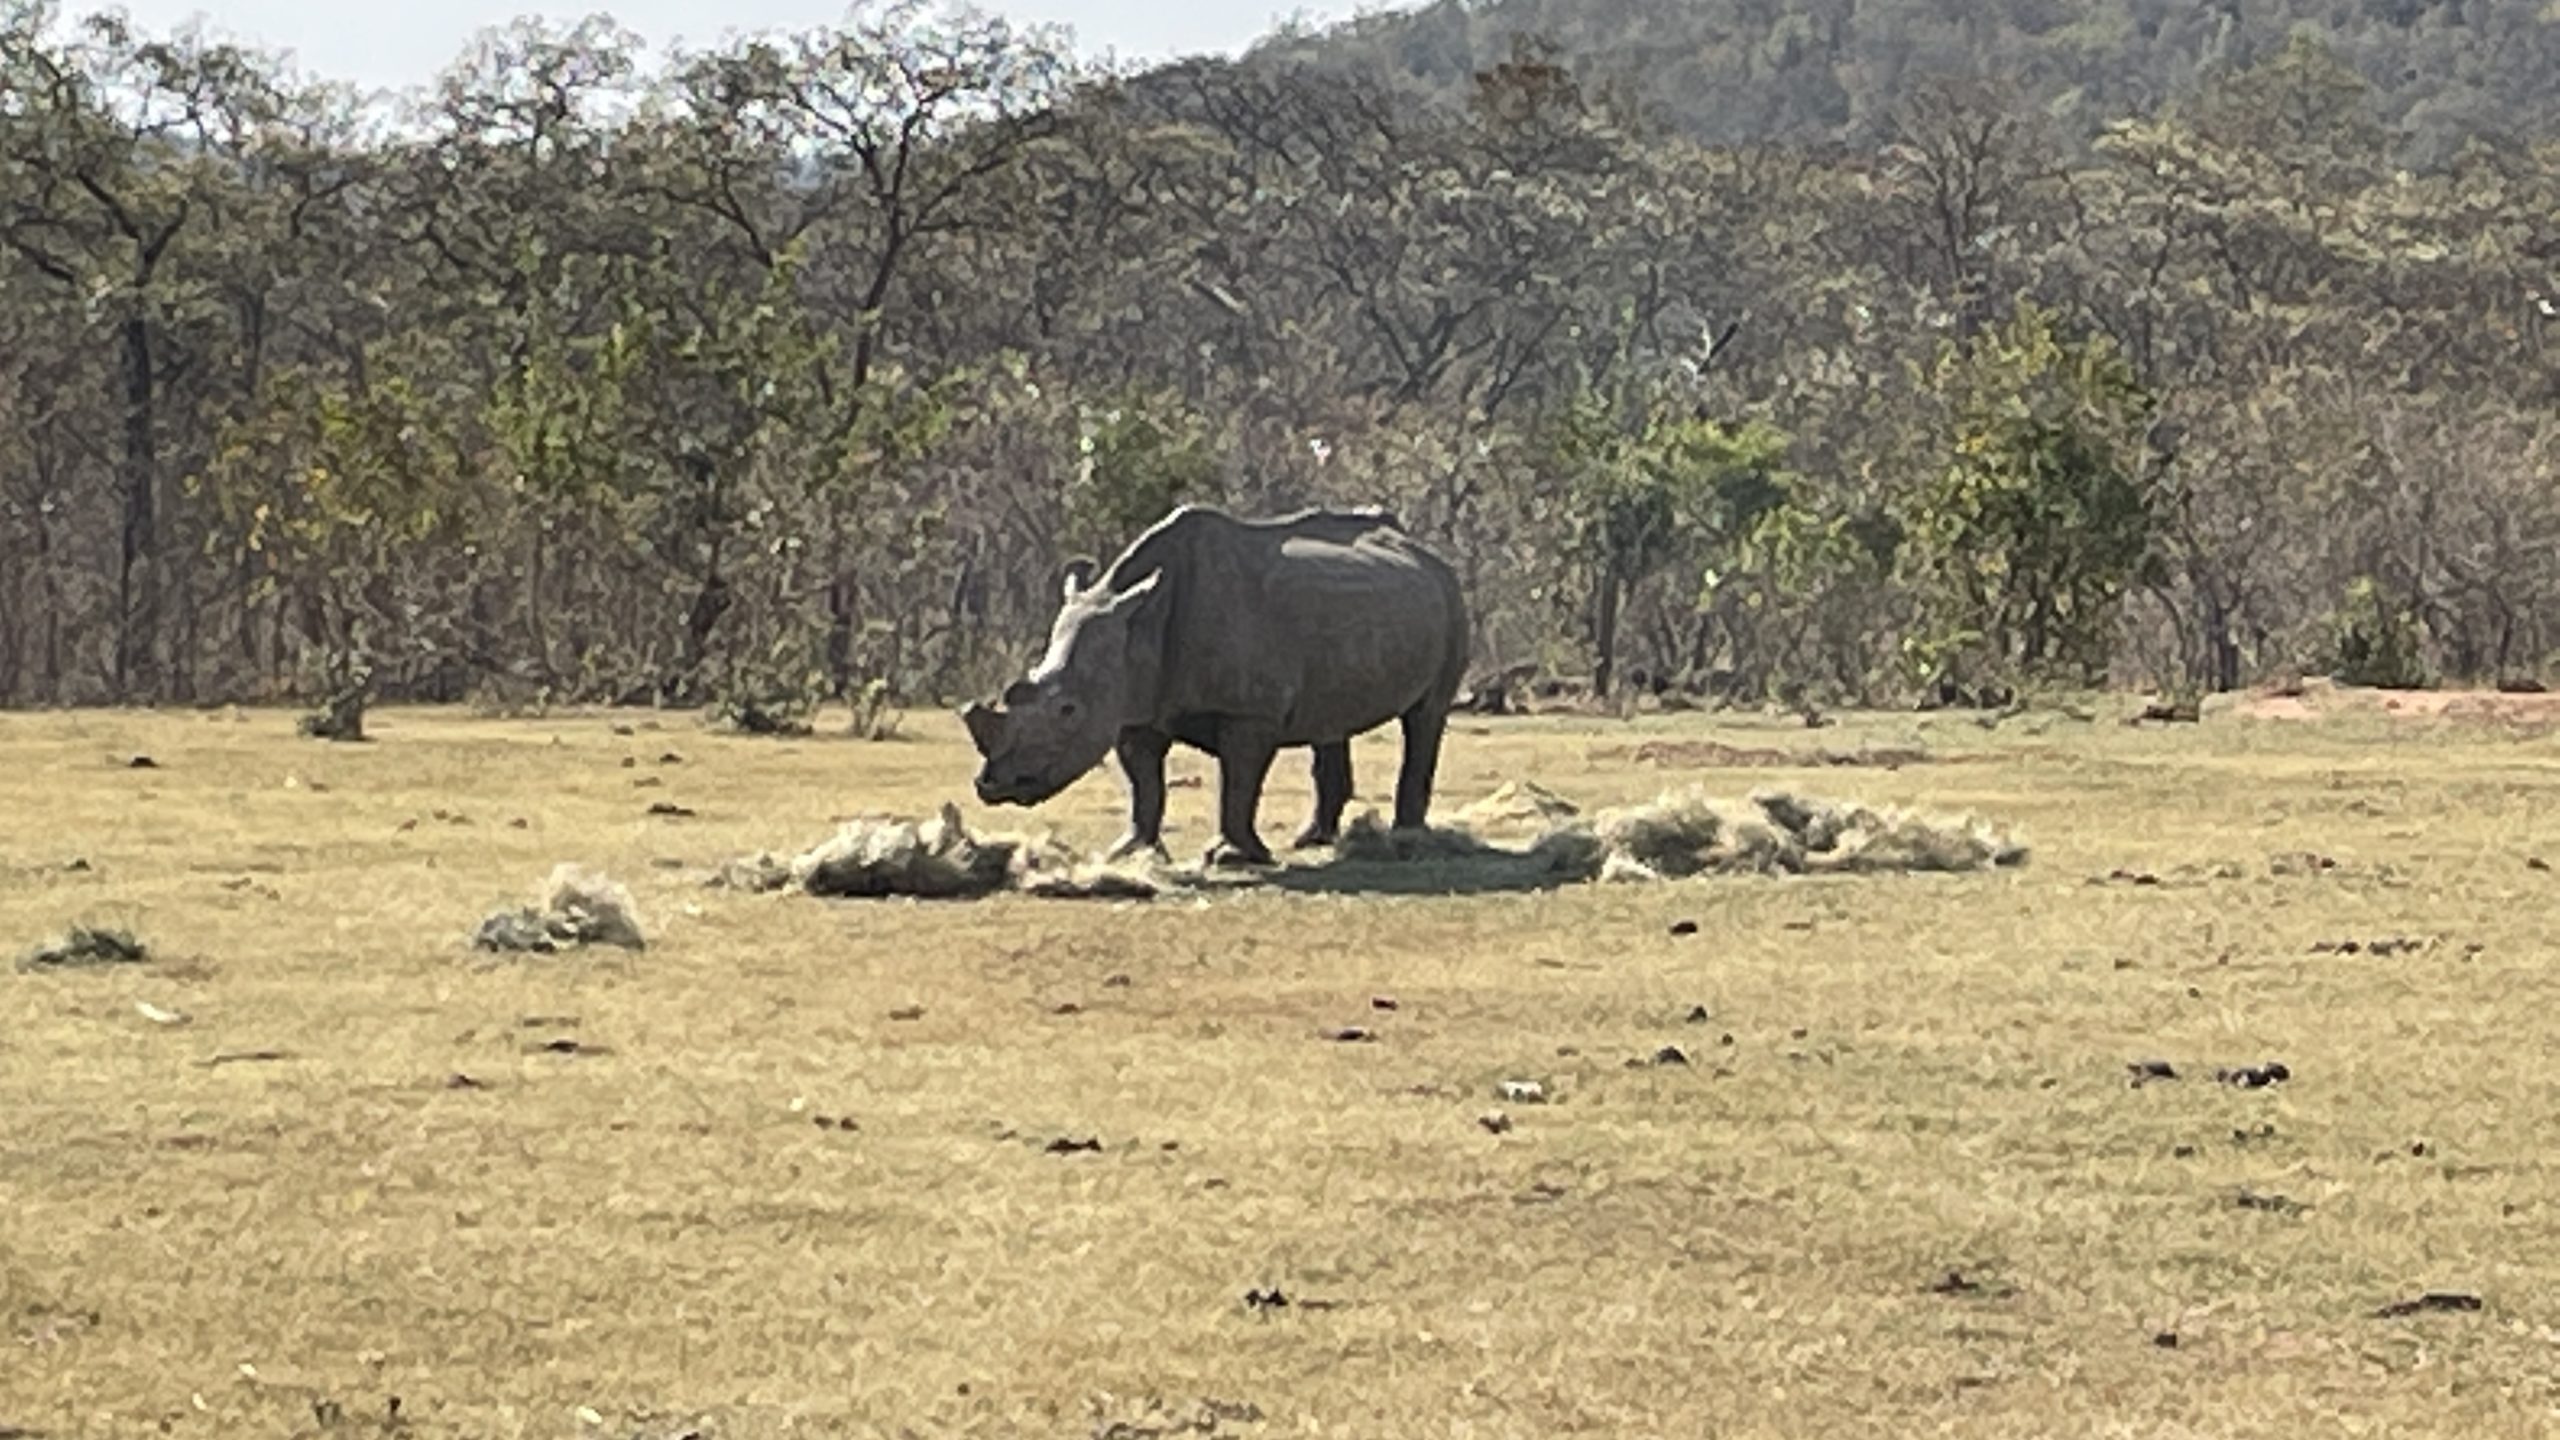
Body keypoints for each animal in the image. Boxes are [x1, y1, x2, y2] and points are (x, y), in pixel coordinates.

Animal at [962, 504, 1474, 860]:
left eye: (1068, 710)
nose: (993, 785)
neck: (1139, 622)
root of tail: (1421, 550)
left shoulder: (1249, 712)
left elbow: (1239, 782)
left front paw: (1232, 856)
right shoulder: (1134, 704)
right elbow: (1143, 782)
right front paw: (1130, 851)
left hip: (1452, 598)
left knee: (1425, 716)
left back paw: (1406, 840)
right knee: (1330, 719)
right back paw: (1312, 840)